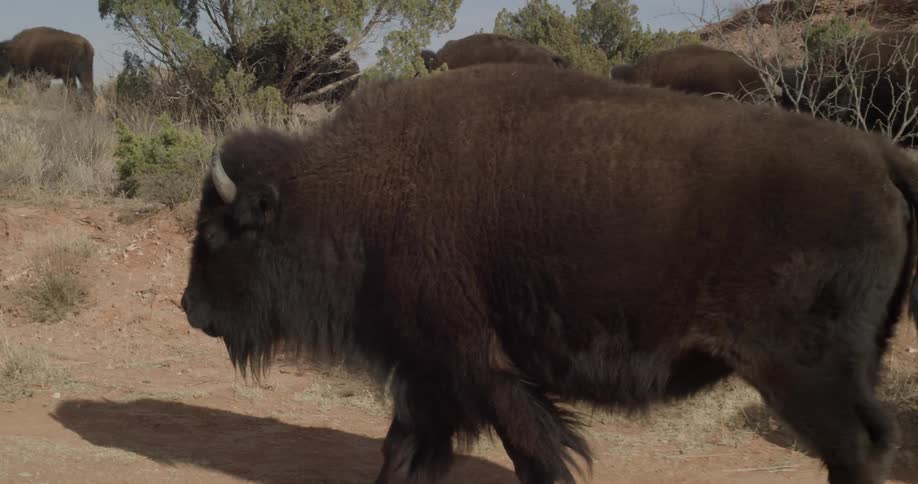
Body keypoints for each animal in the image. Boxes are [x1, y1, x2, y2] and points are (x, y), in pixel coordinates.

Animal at [181, 62, 918, 484]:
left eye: (216, 233)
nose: (190, 308)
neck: (359, 191)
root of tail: (879, 156)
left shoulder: (482, 369)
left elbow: (535, 457)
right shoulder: (430, 374)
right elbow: (401, 452)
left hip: (803, 372)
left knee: (857, 448)